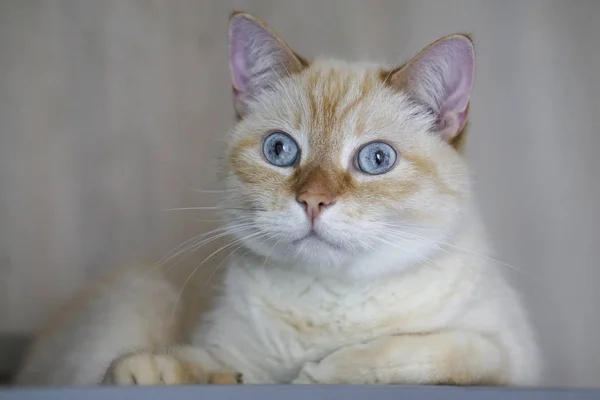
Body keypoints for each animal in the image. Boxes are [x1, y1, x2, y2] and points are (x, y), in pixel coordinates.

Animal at [15, 10, 540, 386]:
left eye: (375, 160)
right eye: (280, 151)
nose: (313, 201)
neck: (330, 307)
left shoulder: (508, 356)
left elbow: (432, 351)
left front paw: (316, 373)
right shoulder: (223, 351)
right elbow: (189, 364)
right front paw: (151, 373)